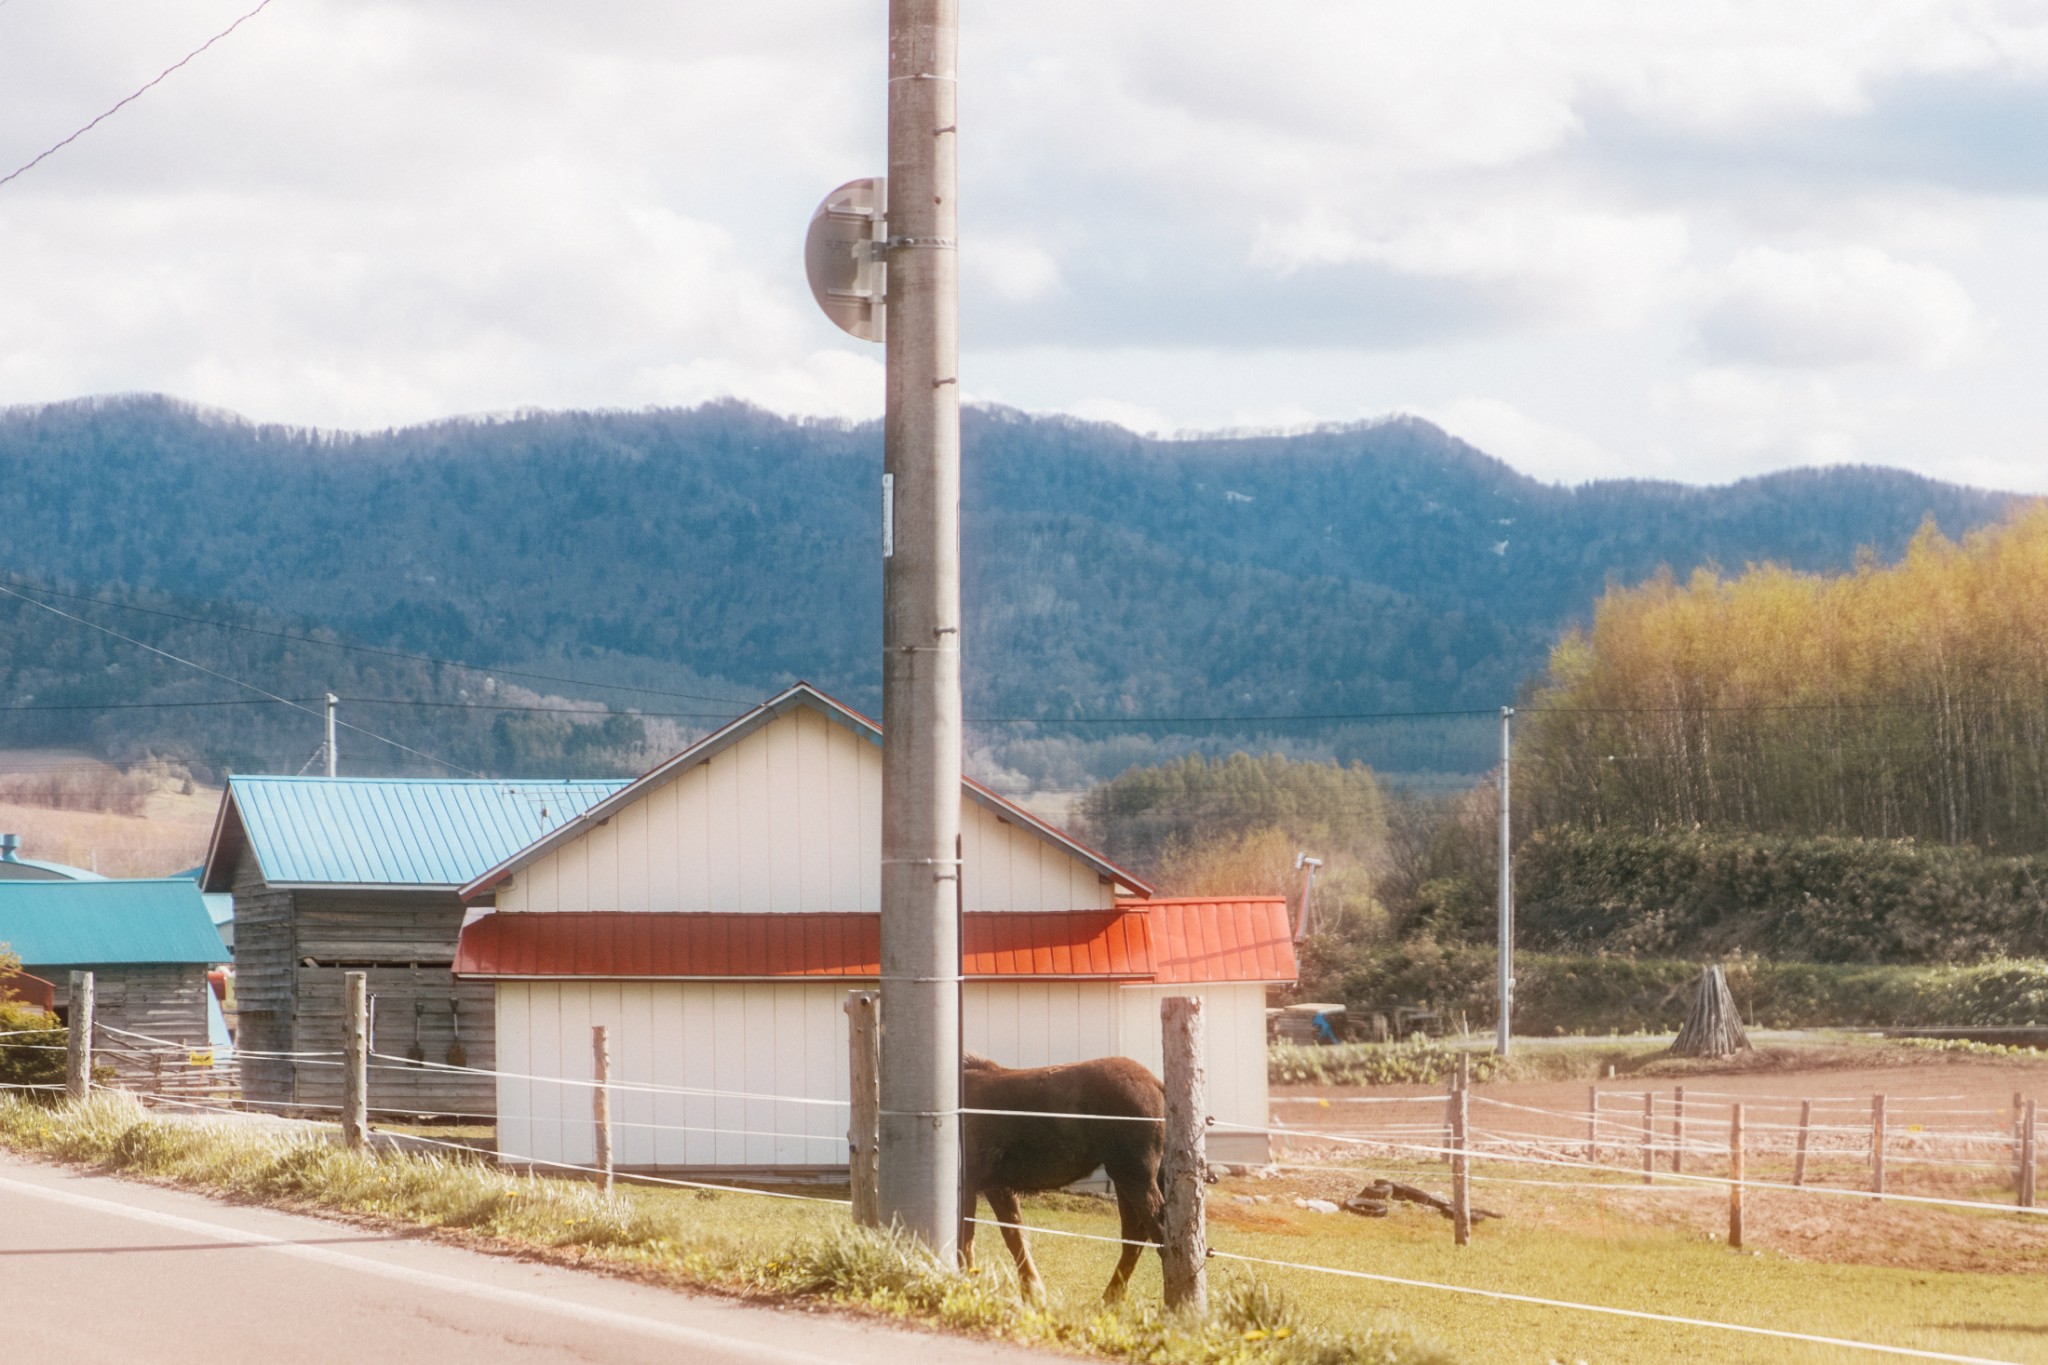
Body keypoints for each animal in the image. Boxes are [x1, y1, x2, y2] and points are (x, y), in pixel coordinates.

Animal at [950, 1055, 1163, 1301]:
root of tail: (1156, 1083)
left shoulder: (970, 1187)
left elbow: (967, 1241)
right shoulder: (997, 1187)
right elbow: (1013, 1236)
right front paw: (1033, 1294)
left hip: (1134, 1178)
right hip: (1124, 1181)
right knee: (1134, 1237)